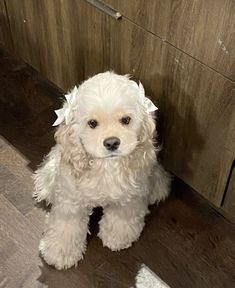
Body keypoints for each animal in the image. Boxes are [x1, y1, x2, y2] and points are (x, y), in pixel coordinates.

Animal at [32, 72, 171, 270]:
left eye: (126, 120)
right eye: (92, 123)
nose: (112, 142)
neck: (106, 166)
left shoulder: (130, 195)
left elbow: (122, 216)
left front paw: (118, 237)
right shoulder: (70, 198)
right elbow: (67, 225)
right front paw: (59, 251)